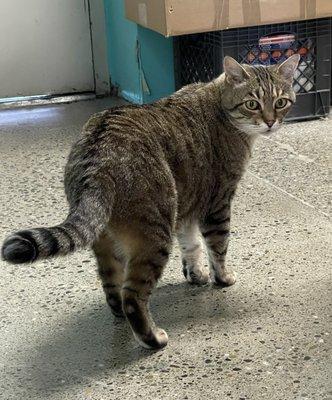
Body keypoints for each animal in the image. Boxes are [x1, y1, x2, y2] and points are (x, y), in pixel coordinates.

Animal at [0, 54, 300, 348]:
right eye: (252, 104)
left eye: (280, 102)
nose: (271, 122)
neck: (219, 105)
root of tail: (97, 157)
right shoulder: (217, 203)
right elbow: (218, 247)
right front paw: (222, 277)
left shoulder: (187, 204)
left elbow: (191, 246)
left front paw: (196, 274)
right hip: (155, 235)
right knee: (132, 296)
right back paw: (152, 338)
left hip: (110, 242)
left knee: (113, 291)